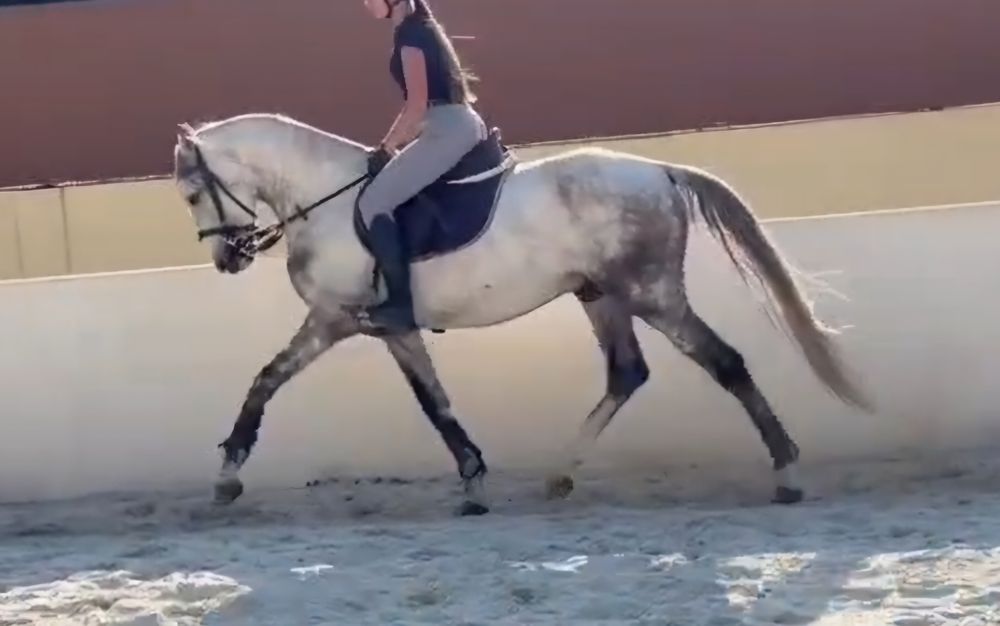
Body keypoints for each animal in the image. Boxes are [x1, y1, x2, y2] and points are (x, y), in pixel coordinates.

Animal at [172, 112, 871, 516]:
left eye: (191, 192)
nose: (227, 259)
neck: (325, 199)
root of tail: (661, 171)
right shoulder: (390, 329)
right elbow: (435, 403)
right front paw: (474, 480)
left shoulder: (335, 318)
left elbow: (267, 380)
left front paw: (227, 476)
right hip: (602, 296)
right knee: (627, 374)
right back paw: (559, 476)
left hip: (650, 293)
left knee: (724, 363)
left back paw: (786, 474)